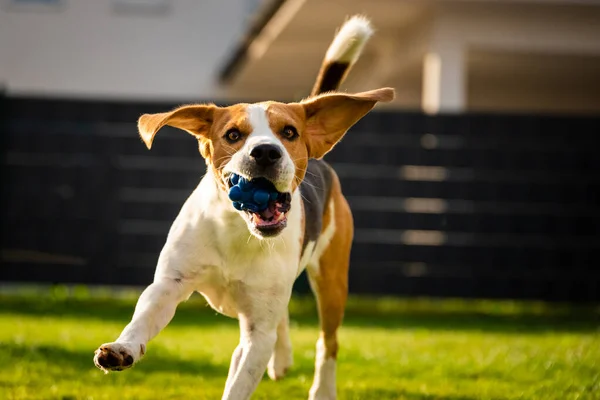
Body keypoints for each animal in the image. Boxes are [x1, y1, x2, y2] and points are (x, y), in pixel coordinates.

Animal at [94, 15, 394, 400]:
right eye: (233, 135)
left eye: (289, 132)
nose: (265, 152)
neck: (238, 229)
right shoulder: (169, 284)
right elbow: (143, 318)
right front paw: (123, 348)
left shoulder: (258, 333)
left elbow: (242, 380)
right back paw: (282, 359)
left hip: (331, 281)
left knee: (328, 342)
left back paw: (322, 388)